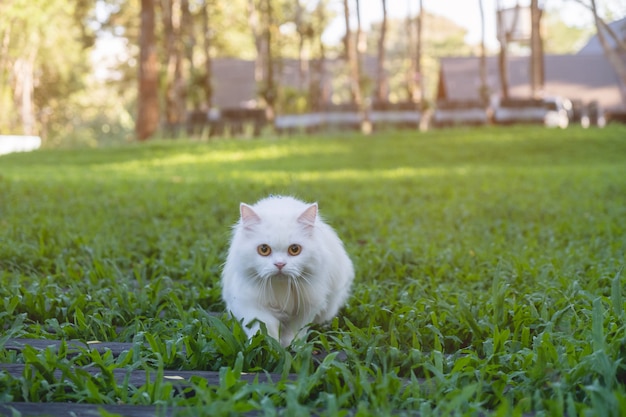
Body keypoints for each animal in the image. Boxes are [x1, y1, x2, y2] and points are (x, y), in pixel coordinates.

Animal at [222, 195, 354, 344]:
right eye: (264, 249)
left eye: (294, 249)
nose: (280, 264)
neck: (281, 288)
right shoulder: (250, 304)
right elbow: (265, 326)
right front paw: (266, 343)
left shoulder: (308, 306)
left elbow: (295, 330)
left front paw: (290, 344)